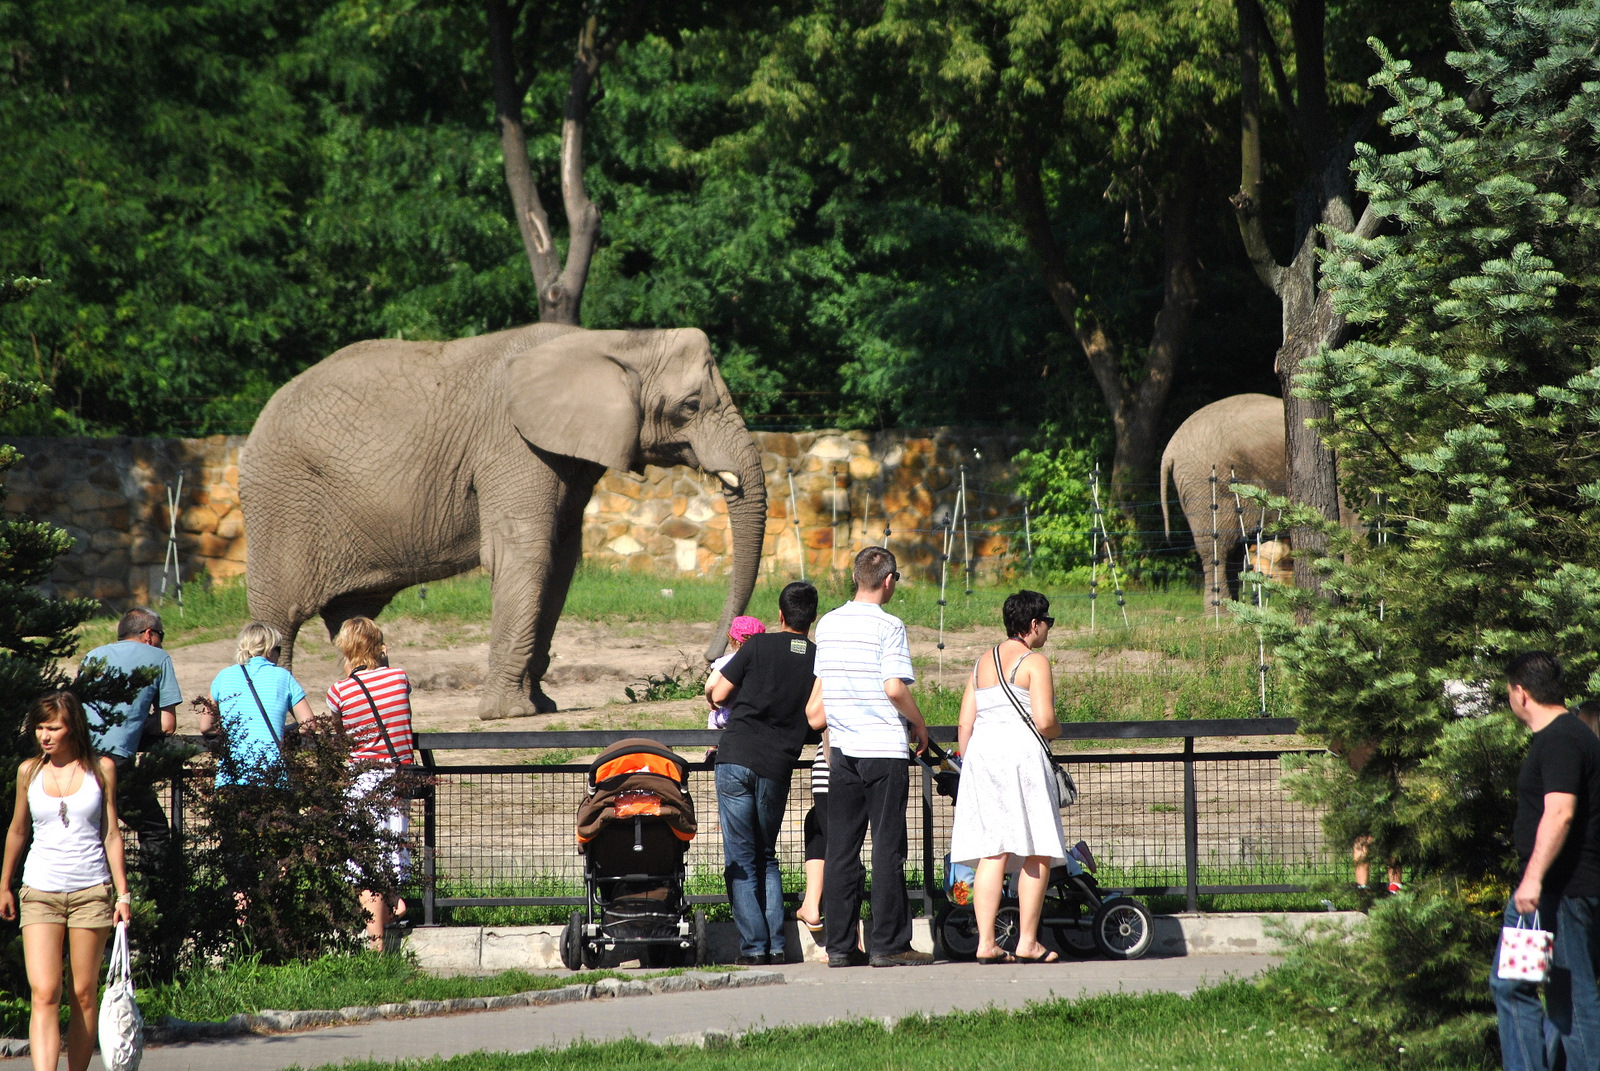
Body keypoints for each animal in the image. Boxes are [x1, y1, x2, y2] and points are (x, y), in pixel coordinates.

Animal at [239, 323, 767, 719]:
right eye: (690, 406)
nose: (709, 659)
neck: (615, 342)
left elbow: (559, 559)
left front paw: (541, 706)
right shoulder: (511, 443)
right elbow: (524, 554)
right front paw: (509, 714)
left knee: (348, 616)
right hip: (279, 501)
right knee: (279, 617)